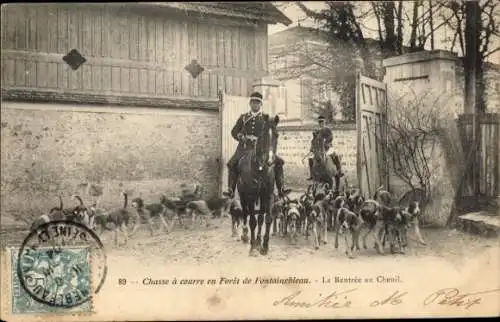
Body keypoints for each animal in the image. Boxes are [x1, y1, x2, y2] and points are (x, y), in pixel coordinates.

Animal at [236, 114, 280, 255]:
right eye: (264, 135)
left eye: (277, 135)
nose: (270, 161)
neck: (260, 168)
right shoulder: (250, 195)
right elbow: (253, 221)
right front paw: (253, 246)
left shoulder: (267, 194)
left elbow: (266, 219)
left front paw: (263, 245)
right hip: (243, 196)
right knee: (245, 213)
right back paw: (245, 235)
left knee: (259, 217)